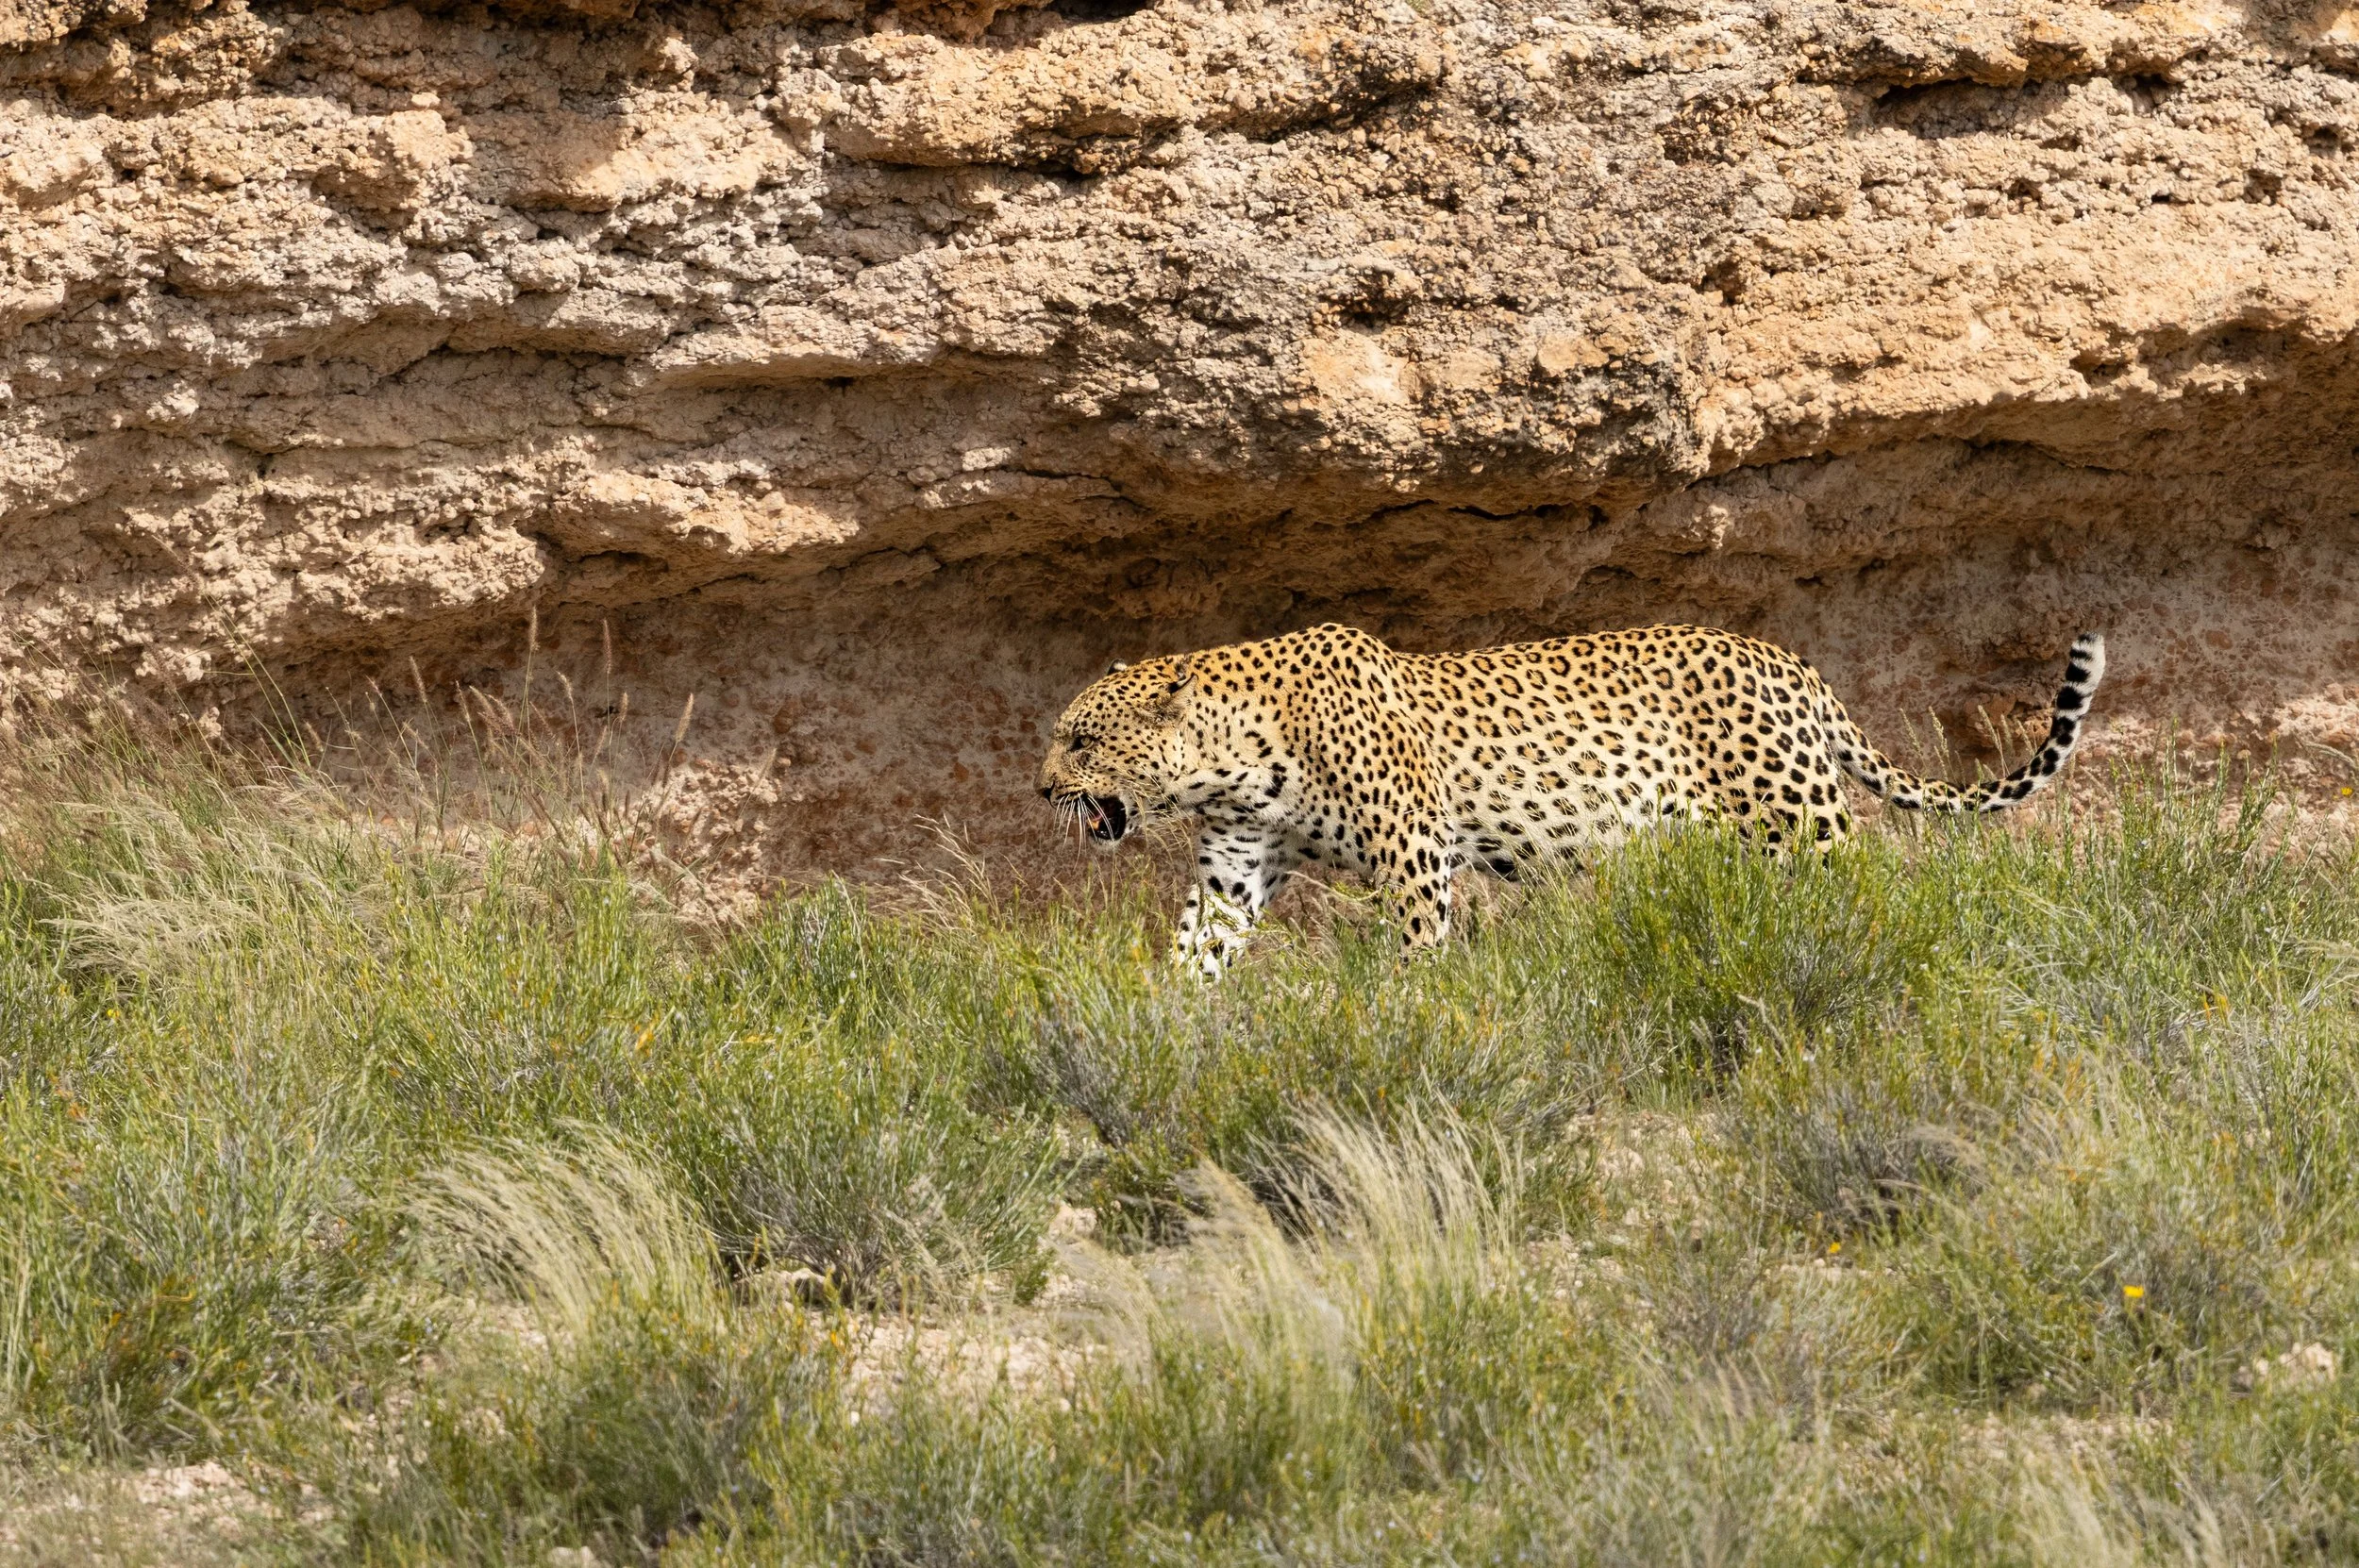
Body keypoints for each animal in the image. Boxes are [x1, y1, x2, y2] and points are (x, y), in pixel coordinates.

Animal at [1040, 622, 2106, 977]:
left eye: (1081, 738)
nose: (1042, 785)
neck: (1234, 758)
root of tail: (1792, 662)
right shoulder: (1234, 865)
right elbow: (1197, 949)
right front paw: (1159, 1022)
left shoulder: (1411, 849)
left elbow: (1417, 947)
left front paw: (1405, 1013)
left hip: (1799, 818)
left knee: (1869, 889)